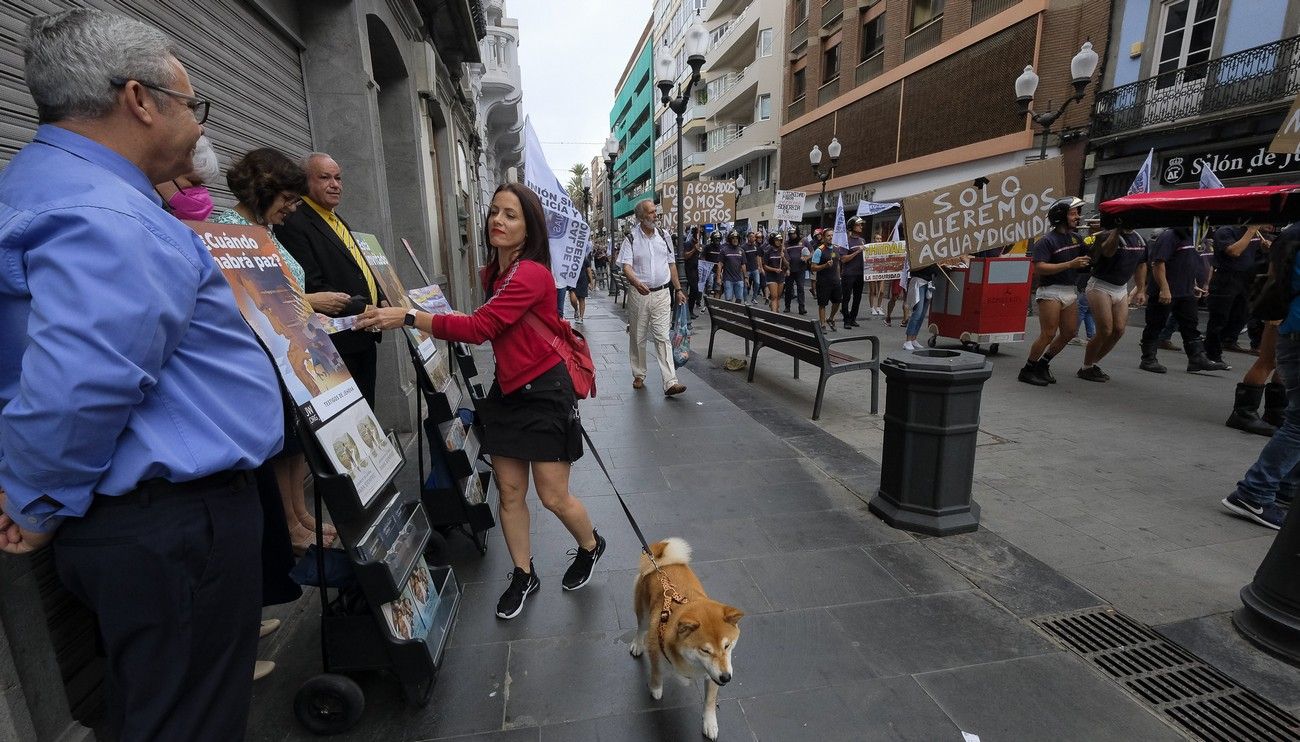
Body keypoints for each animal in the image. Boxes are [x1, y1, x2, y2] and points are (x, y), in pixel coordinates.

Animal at [631, 537, 748, 738]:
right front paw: (656, 689)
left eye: (727, 646)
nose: (726, 678)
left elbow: (710, 701)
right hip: (644, 614)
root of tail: (659, 562)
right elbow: (656, 673)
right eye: (705, 650)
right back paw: (637, 645)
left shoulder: (713, 675)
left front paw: (710, 723)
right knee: (640, 628)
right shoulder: (655, 650)